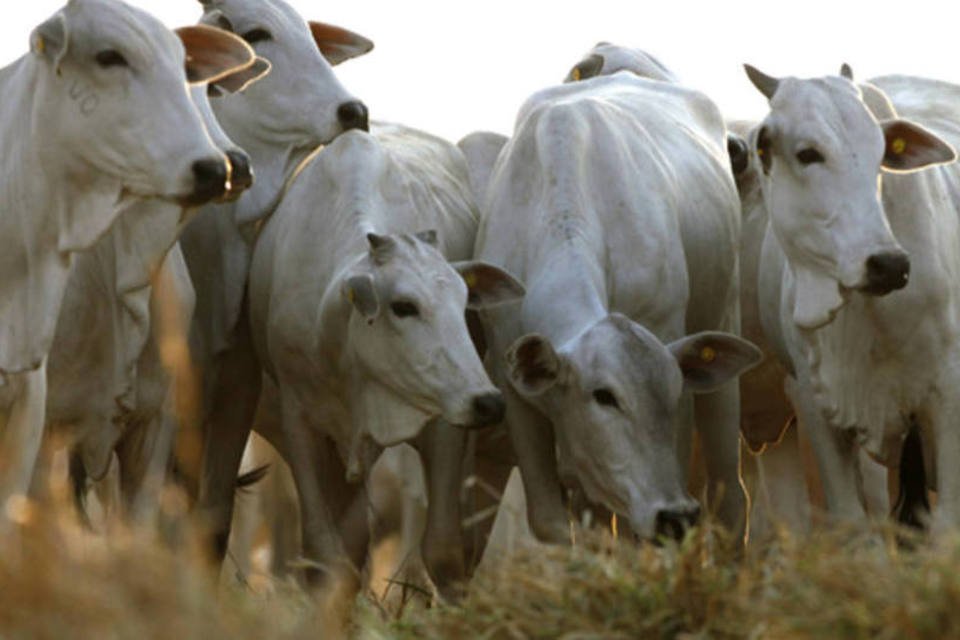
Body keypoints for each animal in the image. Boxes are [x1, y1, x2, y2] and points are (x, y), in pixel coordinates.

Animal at [244, 122, 520, 596]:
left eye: (465, 302)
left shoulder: (444, 423)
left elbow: (444, 550)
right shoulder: (299, 421)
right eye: (403, 306)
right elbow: (324, 550)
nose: (488, 402)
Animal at [476, 52, 760, 548]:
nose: (675, 516)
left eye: (672, 390)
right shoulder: (515, 392)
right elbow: (552, 522)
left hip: (723, 324)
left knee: (730, 499)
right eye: (603, 395)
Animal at [744, 63, 960, 528]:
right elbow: (851, 518)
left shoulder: (947, 397)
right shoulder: (814, 400)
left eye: (881, 155)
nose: (889, 264)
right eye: (808, 153)